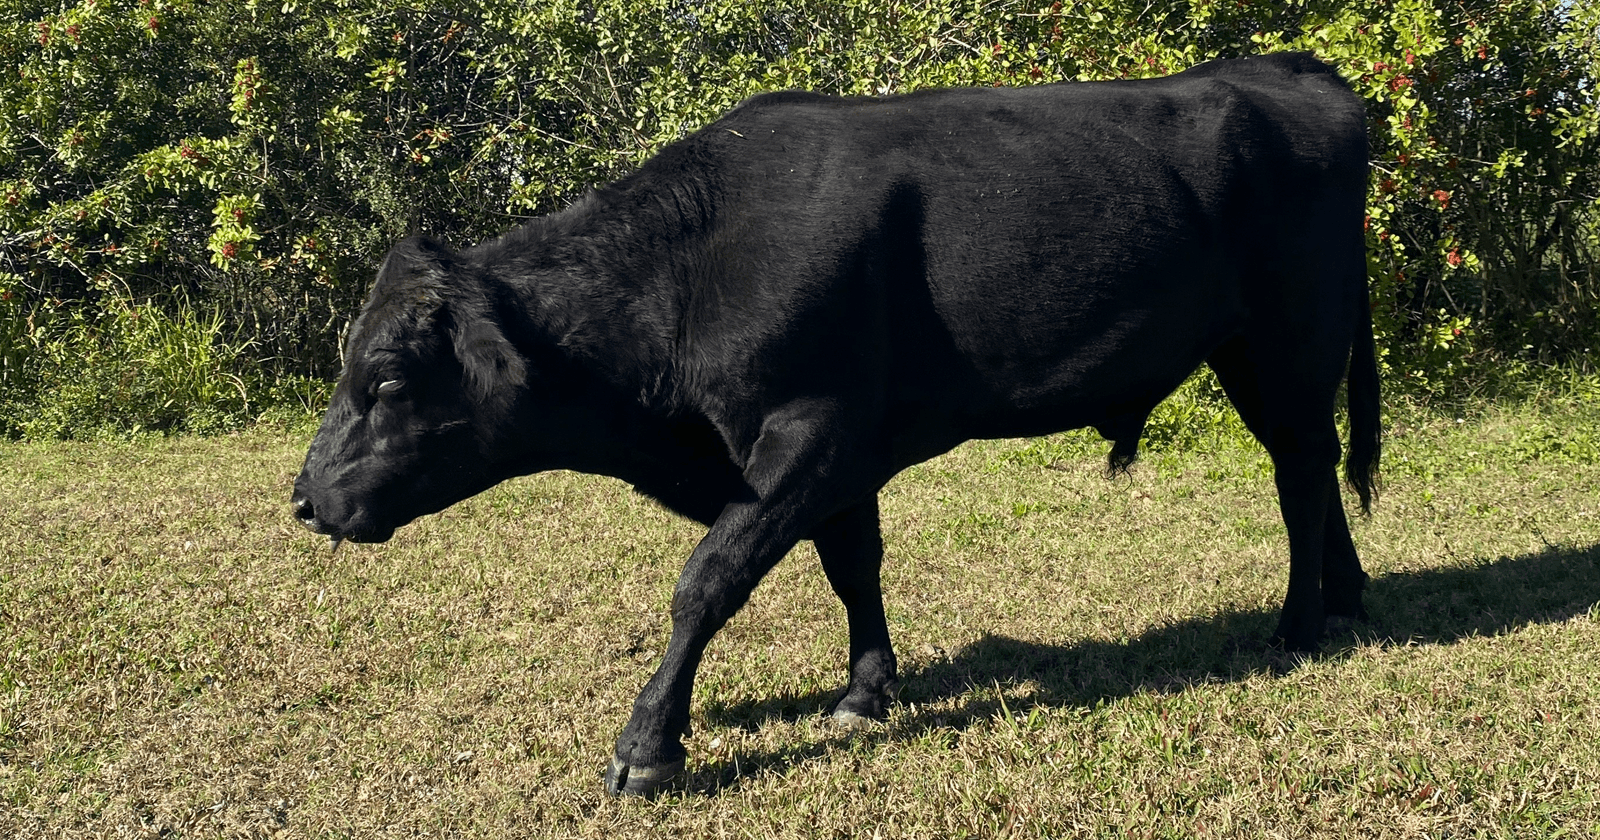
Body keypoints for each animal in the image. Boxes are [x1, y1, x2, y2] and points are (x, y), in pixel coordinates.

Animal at [292, 52, 1379, 796]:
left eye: (385, 381)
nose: (304, 498)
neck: (691, 270)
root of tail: (1281, 69)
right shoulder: (838, 452)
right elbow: (852, 564)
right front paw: (864, 690)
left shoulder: (809, 434)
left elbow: (708, 581)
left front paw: (648, 747)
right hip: (1264, 351)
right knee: (1315, 469)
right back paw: (1347, 599)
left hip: (1285, 340)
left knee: (1299, 472)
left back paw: (1295, 626)